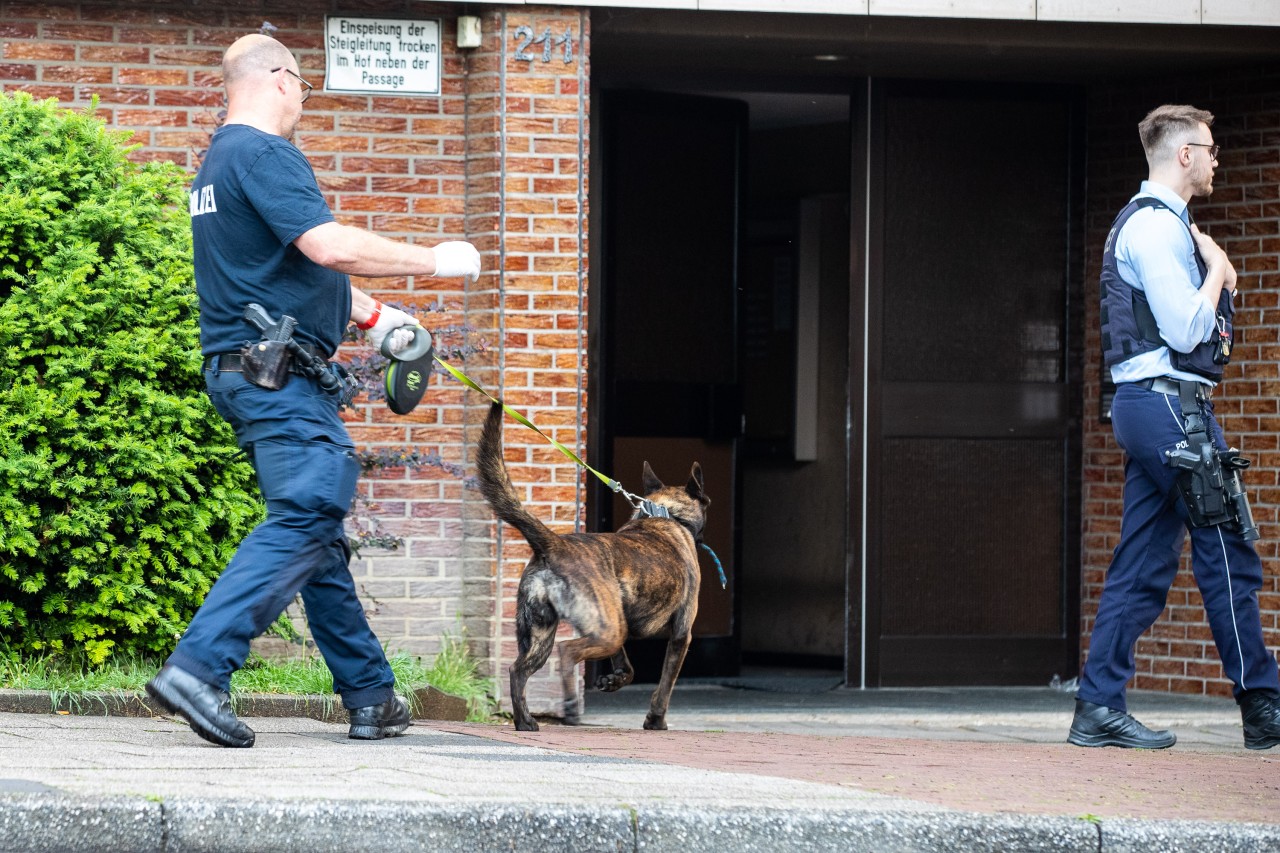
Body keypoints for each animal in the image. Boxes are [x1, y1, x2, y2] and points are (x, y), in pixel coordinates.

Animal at [141, 36, 481, 747]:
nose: (304, 94)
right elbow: (325, 242)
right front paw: (452, 256)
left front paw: (397, 328)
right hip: (307, 441)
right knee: (310, 519)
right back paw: (194, 692)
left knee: (321, 544)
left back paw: (375, 705)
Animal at [476, 399, 711, 732]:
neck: (664, 514)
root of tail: (554, 544)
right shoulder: (681, 632)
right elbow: (665, 685)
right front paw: (656, 721)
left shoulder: (617, 618)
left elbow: (626, 664)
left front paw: (614, 680)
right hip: (602, 630)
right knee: (567, 651)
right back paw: (570, 708)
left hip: (548, 631)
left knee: (517, 670)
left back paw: (526, 721)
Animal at [1070, 103, 1280, 747]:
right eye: (1208, 148)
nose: (1215, 163)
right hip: (1189, 471)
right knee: (1223, 554)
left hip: (1154, 481)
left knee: (1135, 578)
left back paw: (1101, 716)